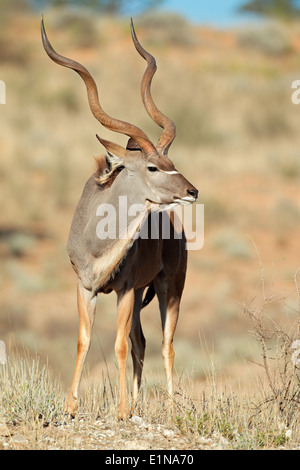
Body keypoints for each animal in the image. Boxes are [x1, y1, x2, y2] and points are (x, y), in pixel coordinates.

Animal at [41, 17, 198, 418]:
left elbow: (120, 344)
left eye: (172, 162)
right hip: (145, 290)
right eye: (153, 166)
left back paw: (169, 407)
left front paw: (123, 410)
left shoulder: (125, 289)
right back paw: (142, 401)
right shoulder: (86, 288)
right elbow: (84, 340)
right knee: (142, 340)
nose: (192, 191)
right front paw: (71, 406)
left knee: (165, 343)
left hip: (169, 286)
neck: (99, 242)